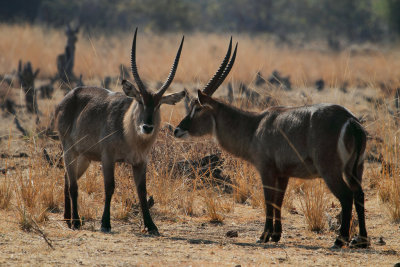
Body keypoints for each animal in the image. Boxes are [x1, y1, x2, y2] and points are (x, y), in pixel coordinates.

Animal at [55, 27, 185, 234]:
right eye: (140, 101)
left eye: (158, 105)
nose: (147, 127)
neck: (130, 134)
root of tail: (69, 96)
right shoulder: (108, 158)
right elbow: (110, 187)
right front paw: (105, 223)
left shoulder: (140, 162)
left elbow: (142, 191)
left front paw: (151, 226)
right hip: (69, 150)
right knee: (73, 184)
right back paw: (75, 221)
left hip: (84, 157)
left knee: (68, 178)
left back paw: (68, 218)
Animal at [174, 38, 368, 249]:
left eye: (197, 108)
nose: (177, 130)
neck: (254, 126)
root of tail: (350, 120)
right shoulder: (283, 174)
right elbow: (278, 201)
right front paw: (276, 235)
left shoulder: (266, 169)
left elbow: (268, 200)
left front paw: (264, 236)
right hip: (355, 169)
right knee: (359, 194)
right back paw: (361, 240)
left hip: (330, 170)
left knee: (347, 196)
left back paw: (340, 240)